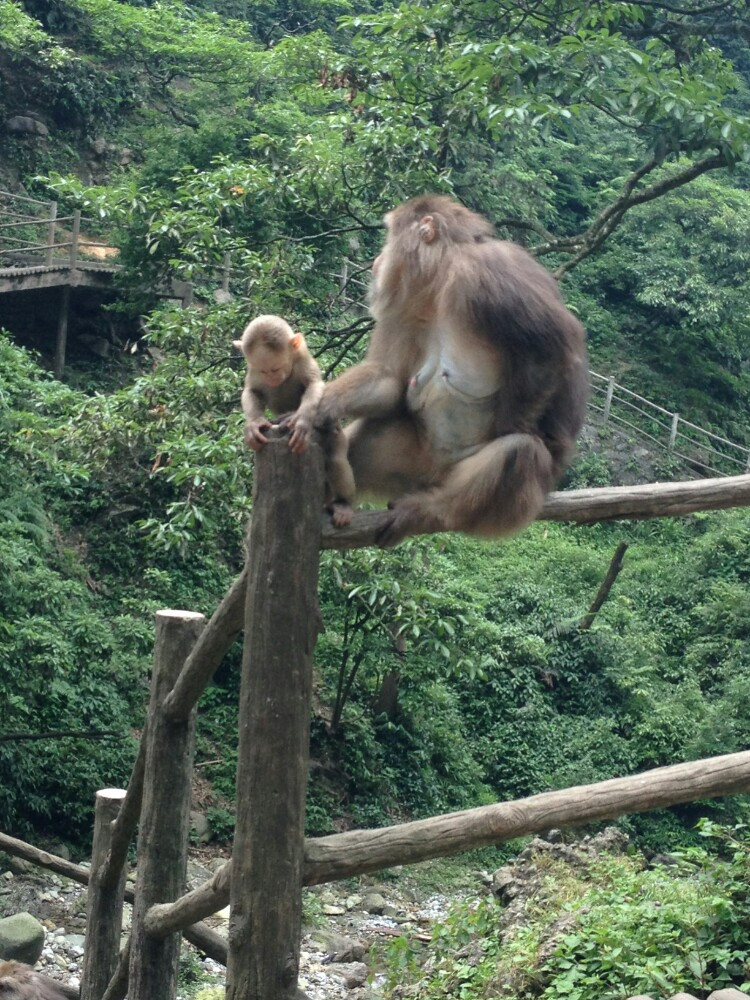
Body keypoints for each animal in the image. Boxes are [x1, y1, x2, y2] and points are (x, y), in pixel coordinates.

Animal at [235, 316, 356, 528]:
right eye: (264, 371)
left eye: (276, 368)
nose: (272, 377)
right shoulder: (253, 370)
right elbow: (252, 391)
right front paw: (254, 424)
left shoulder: (302, 359)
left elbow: (314, 385)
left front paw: (300, 422)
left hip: (335, 436)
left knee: (336, 458)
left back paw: (344, 504)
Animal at [320, 195, 592, 548]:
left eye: (389, 237)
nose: (378, 260)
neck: (442, 282)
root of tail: (429, 479)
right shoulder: (405, 305)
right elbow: (389, 378)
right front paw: (322, 403)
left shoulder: (484, 273)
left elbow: (554, 348)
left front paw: (515, 426)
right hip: (409, 464)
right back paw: (338, 501)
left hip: (509, 503)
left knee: (520, 452)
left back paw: (428, 512)